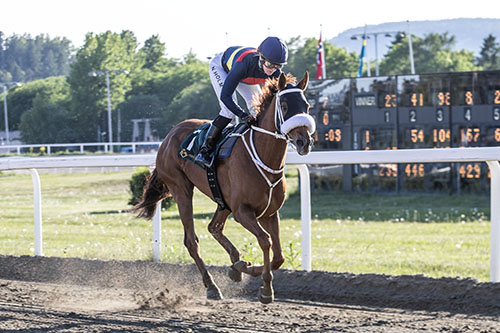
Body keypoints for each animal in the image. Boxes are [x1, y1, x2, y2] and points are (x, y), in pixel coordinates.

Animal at [131, 72, 314, 304]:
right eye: (284, 105)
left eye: (306, 105)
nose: (304, 142)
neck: (263, 156)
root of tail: (169, 135)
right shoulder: (242, 212)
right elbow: (265, 241)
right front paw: (265, 288)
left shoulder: (270, 213)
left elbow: (279, 256)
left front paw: (245, 268)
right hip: (181, 189)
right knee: (192, 241)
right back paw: (211, 286)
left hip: (222, 200)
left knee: (214, 227)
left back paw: (235, 263)